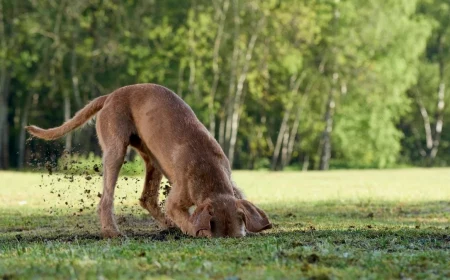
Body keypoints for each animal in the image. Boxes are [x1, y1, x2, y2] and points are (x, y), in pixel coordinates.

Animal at [26, 83, 272, 238]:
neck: (209, 174)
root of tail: (110, 96)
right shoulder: (176, 201)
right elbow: (188, 221)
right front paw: (194, 230)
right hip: (115, 150)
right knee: (106, 199)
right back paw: (112, 232)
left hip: (152, 159)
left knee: (147, 198)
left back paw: (167, 225)